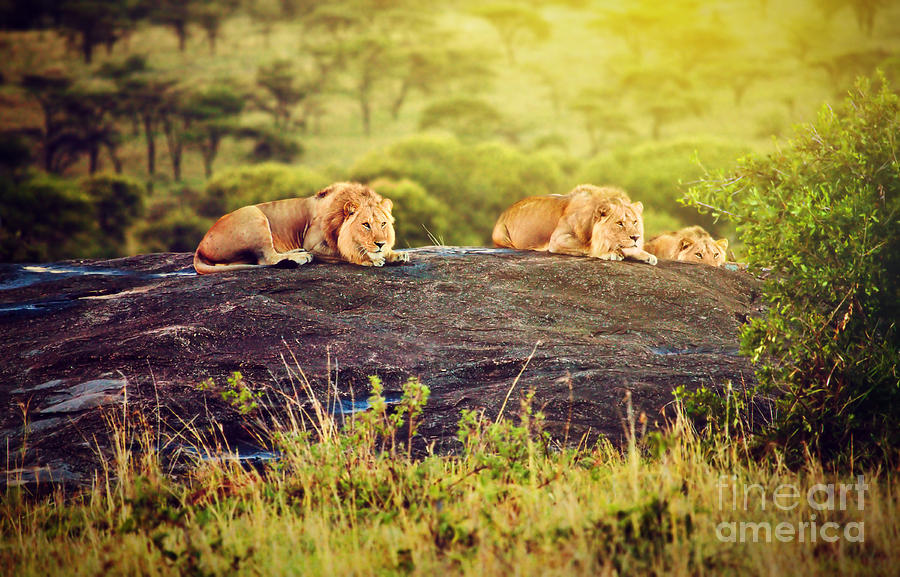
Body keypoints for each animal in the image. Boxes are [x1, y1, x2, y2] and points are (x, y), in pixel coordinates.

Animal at [197, 183, 412, 276]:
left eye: (383, 224)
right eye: (365, 224)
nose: (380, 243)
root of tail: (200, 246)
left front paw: (395, 254)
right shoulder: (313, 244)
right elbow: (344, 253)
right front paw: (373, 259)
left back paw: (295, 252)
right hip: (254, 215)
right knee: (267, 258)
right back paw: (300, 257)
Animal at [496, 184, 656, 266]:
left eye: (635, 221)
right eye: (620, 223)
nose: (636, 237)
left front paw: (646, 255)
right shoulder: (558, 239)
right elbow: (587, 246)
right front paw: (609, 253)